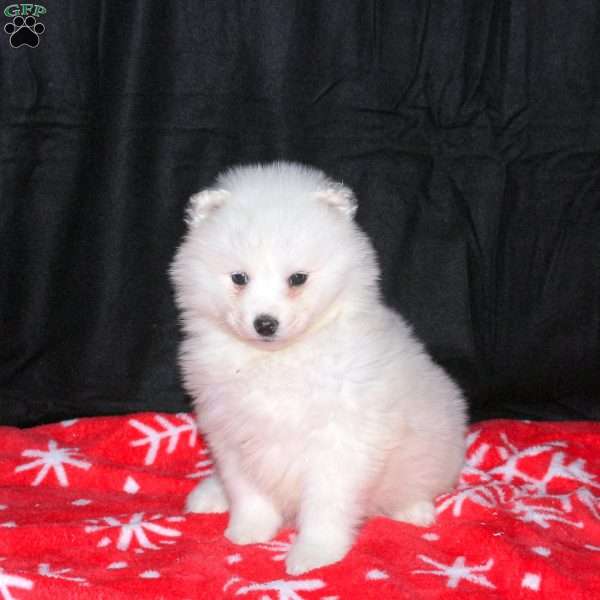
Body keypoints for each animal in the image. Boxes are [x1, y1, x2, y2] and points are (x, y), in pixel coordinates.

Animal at [170, 162, 468, 576]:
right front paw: (248, 530)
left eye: (298, 279)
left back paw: (414, 509)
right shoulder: (234, 434)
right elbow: (248, 491)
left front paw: (314, 554)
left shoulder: (340, 440)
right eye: (239, 278)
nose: (265, 323)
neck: (277, 358)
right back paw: (210, 495)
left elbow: (326, 504)